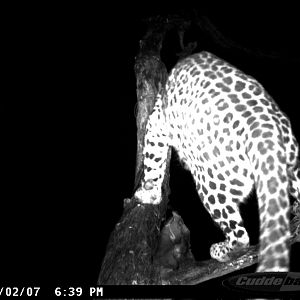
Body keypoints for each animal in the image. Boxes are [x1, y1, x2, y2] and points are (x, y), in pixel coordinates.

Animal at [134, 49, 300, 272]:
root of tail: (265, 132)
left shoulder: (158, 123)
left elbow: (152, 161)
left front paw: (148, 193)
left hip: (211, 184)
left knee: (240, 236)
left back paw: (221, 250)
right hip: (291, 165)